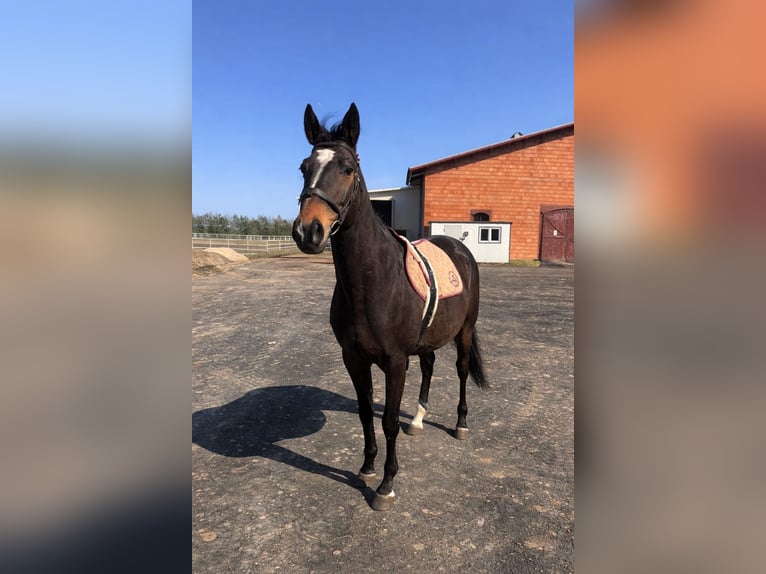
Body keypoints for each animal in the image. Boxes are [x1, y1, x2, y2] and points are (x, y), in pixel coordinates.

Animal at [292, 102, 488, 510]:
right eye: (304, 167)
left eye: (347, 169)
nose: (308, 231)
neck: (372, 283)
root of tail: (459, 247)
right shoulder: (354, 358)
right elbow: (366, 412)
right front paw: (367, 467)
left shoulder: (395, 362)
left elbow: (388, 421)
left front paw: (385, 484)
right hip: (427, 339)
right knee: (429, 366)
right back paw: (419, 419)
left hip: (464, 331)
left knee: (461, 371)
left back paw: (460, 424)